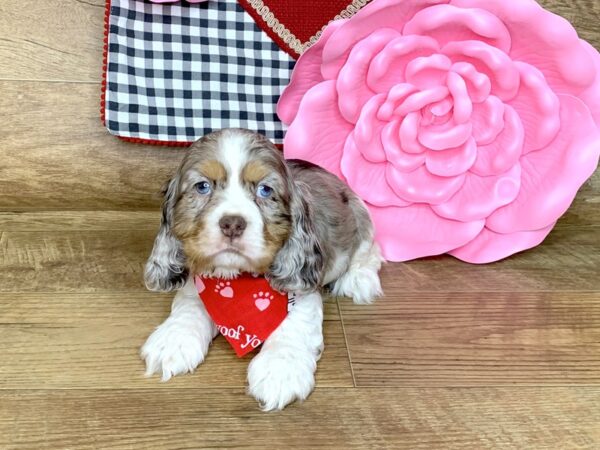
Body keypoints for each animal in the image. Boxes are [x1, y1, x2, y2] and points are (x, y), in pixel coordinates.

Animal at [143, 128, 382, 410]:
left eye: (265, 190)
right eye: (202, 186)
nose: (232, 223)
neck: (235, 281)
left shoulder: (301, 291)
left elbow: (294, 323)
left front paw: (280, 369)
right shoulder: (197, 281)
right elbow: (189, 307)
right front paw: (173, 340)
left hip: (362, 215)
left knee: (369, 251)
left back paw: (358, 279)